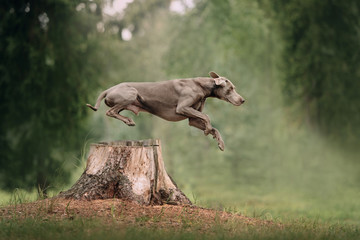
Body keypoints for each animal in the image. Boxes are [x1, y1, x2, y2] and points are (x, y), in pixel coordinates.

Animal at [87, 71, 245, 150]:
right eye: (230, 89)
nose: (243, 100)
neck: (201, 86)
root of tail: (109, 89)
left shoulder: (192, 119)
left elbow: (212, 126)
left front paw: (220, 142)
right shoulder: (182, 108)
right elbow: (206, 117)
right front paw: (208, 129)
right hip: (131, 93)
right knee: (109, 112)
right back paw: (129, 120)